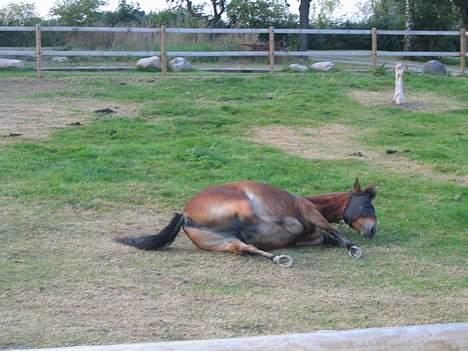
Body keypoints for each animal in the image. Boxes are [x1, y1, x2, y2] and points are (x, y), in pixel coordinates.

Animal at [116, 180, 376, 268]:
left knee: (245, 247)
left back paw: (278, 257)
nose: (373, 229)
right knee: (254, 225)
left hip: (223, 241)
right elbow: (332, 230)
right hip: (242, 203)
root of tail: (185, 214)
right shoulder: (310, 212)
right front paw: (352, 248)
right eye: (367, 205)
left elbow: (323, 237)